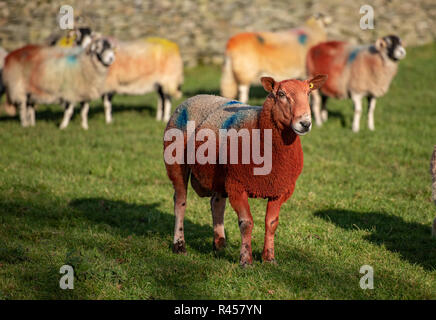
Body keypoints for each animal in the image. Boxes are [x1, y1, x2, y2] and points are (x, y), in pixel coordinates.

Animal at [164, 74, 328, 264]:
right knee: (180, 202)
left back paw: (220, 245)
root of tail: (194, 97)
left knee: (216, 203)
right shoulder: (237, 185)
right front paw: (245, 260)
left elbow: (272, 223)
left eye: (308, 93)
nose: (305, 123)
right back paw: (179, 246)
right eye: (281, 94)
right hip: (176, 163)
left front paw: (269, 258)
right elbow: (246, 223)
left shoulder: (280, 188)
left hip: (221, 175)